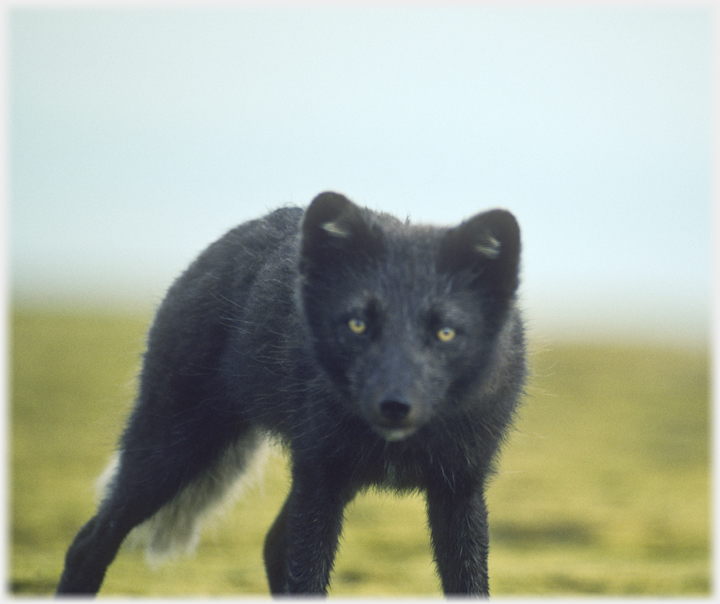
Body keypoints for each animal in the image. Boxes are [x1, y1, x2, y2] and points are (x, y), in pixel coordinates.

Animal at [54, 192, 524, 596]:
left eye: (445, 333)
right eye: (357, 325)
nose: (394, 406)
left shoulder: (459, 488)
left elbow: (470, 584)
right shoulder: (318, 475)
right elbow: (308, 579)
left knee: (272, 545)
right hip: (172, 449)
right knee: (88, 542)